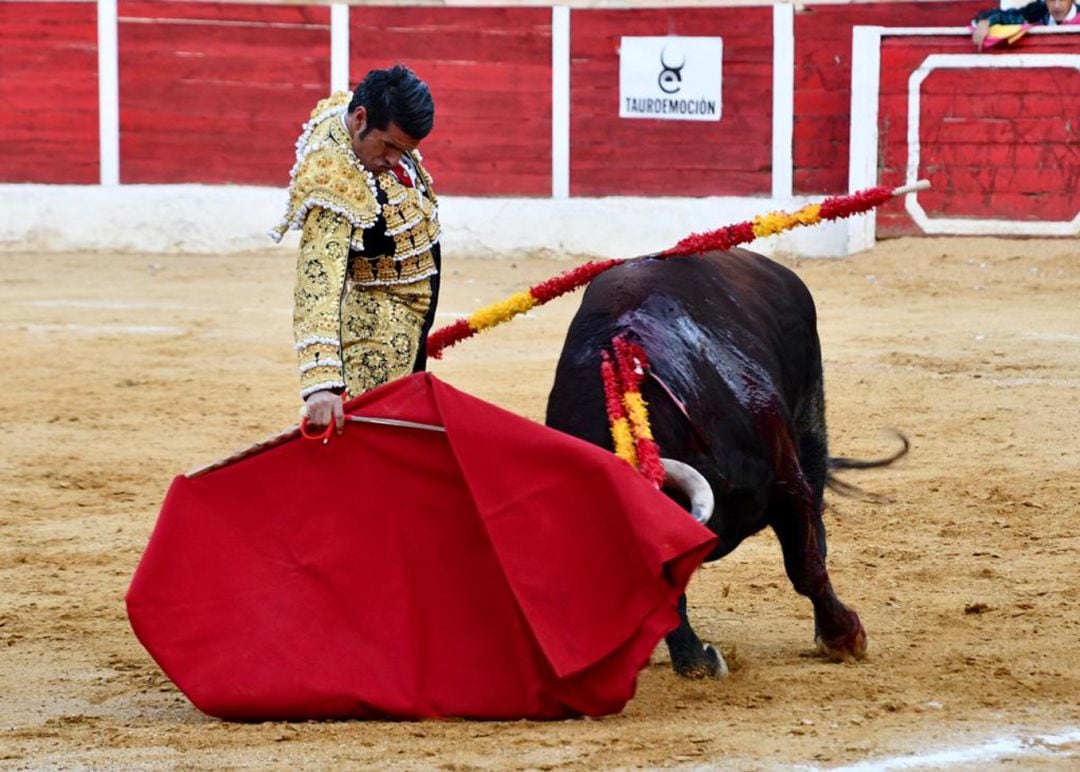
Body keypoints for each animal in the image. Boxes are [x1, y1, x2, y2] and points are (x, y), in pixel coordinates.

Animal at [544, 247, 907, 678]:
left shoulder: (786, 482)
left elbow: (804, 565)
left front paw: (845, 637)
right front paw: (697, 661)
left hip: (810, 421)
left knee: (816, 520)